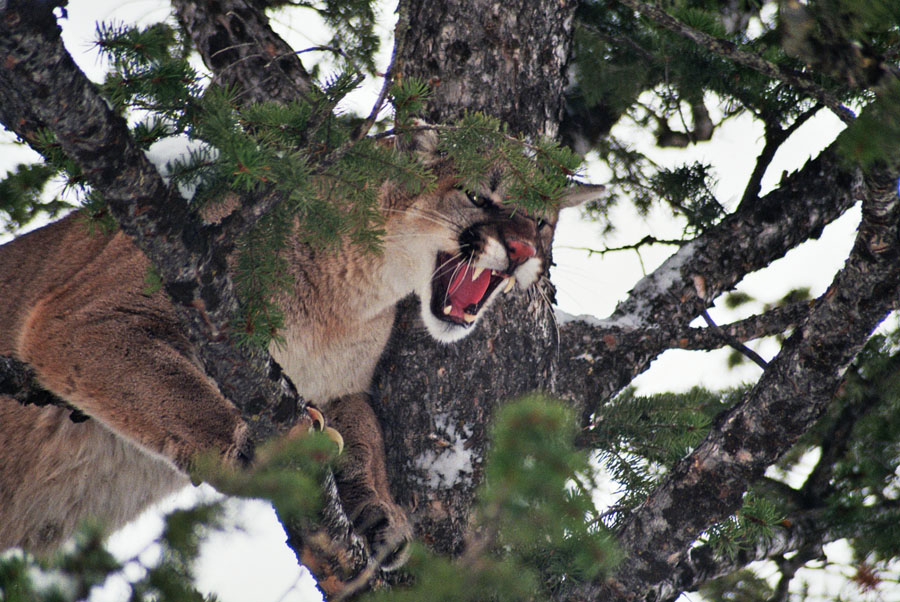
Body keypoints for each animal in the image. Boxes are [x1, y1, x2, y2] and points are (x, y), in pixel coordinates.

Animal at [0, 129, 596, 564]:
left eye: (541, 220)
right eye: (476, 196)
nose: (522, 251)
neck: (353, 291)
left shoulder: (337, 385)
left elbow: (366, 437)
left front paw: (380, 513)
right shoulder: (90, 319)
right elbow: (178, 393)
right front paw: (263, 449)